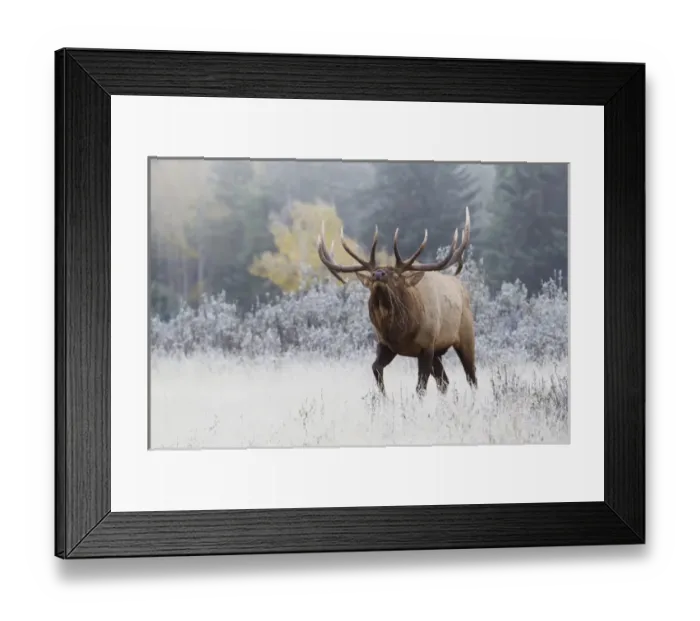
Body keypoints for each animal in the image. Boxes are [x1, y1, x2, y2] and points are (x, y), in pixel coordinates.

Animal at [316, 206, 477, 397]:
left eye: (395, 276)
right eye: (373, 274)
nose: (378, 274)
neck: (402, 332)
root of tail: (463, 288)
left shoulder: (427, 345)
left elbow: (420, 387)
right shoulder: (387, 345)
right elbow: (376, 368)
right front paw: (384, 397)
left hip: (465, 335)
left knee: (471, 376)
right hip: (439, 352)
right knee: (444, 381)